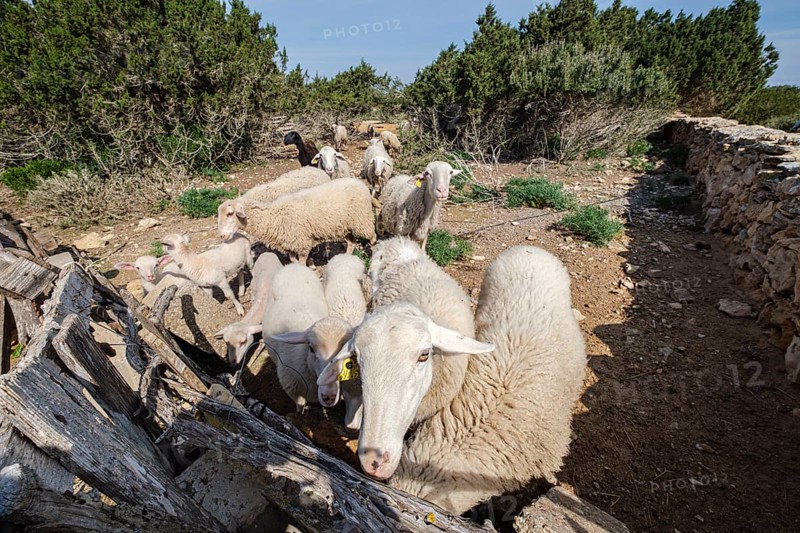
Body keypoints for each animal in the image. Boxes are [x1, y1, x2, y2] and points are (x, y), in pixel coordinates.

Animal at [217, 178, 377, 265]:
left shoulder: (302, 244)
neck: (274, 217)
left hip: (363, 220)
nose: (222, 236)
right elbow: (294, 262)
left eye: (230, 214)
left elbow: (302, 262)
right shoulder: (290, 246)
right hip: (346, 226)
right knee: (351, 242)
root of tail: (362, 185)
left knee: (373, 237)